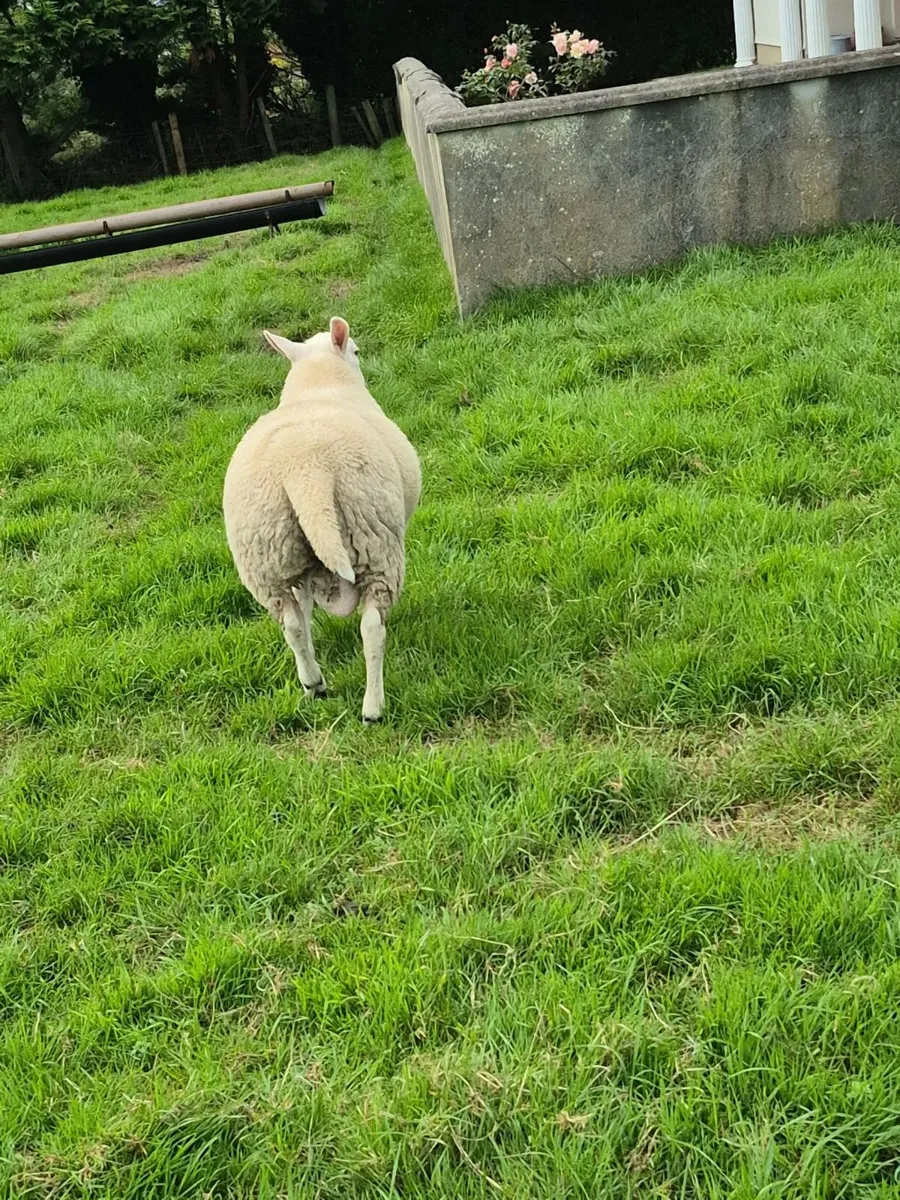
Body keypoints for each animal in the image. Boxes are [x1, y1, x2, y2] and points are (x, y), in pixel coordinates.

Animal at [223, 317, 421, 724]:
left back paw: (313, 683)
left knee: (292, 623)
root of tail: (305, 469)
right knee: (372, 626)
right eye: (356, 351)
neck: (318, 386)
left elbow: (305, 611)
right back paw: (373, 707)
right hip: (375, 541)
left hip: (269, 556)